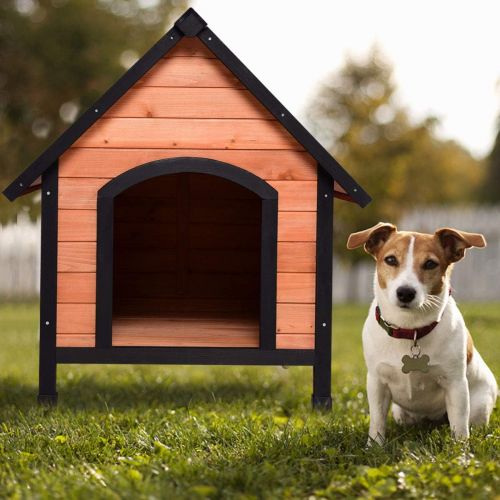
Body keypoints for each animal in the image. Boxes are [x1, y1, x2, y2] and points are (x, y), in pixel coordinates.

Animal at [348, 225, 496, 444]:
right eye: (391, 259)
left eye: (430, 263)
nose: (405, 292)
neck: (411, 330)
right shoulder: (377, 383)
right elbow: (377, 421)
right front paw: (374, 445)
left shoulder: (456, 385)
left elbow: (460, 426)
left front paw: (461, 450)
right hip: (401, 413)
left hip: (478, 406)